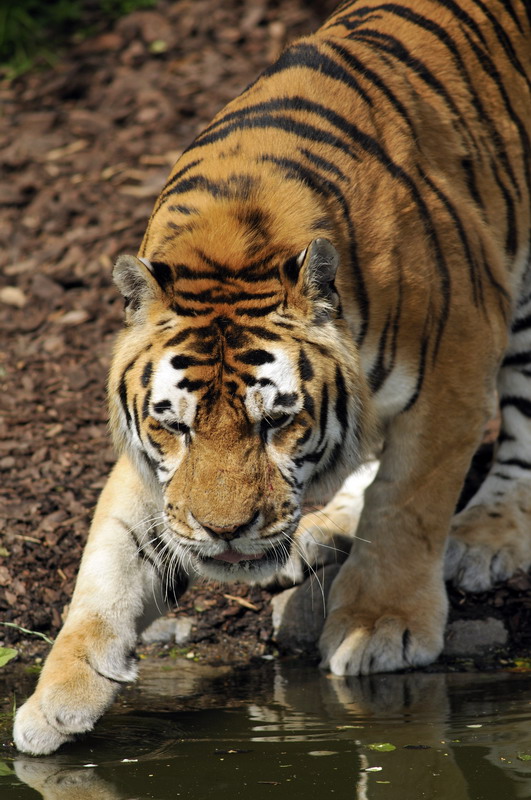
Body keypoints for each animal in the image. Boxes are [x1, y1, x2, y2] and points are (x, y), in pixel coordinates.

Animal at [14, 0, 530, 756]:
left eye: (279, 421)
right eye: (174, 427)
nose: (225, 533)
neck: (232, 242)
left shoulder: (456, 367)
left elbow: (408, 504)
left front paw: (381, 626)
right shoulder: (152, 469)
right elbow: (110, 562)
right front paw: (55, 695)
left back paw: (485, 536)